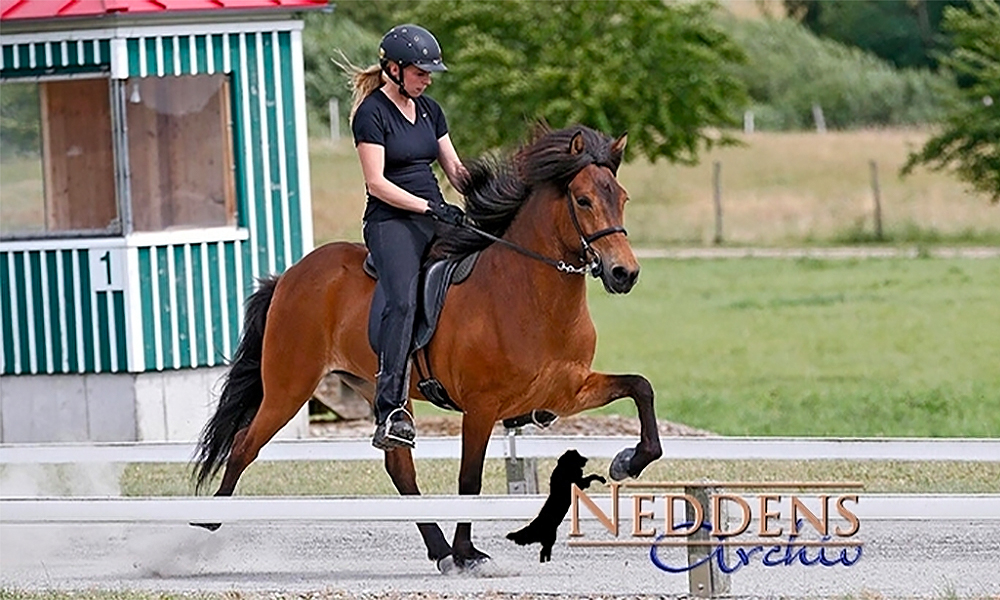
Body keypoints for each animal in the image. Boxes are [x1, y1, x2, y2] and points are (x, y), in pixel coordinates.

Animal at [195, 123, 664, 572]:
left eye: (621, 198)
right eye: (583, 200)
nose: (624, 274)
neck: (528, 294)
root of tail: (290, 275)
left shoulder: (566, 392)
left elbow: (641, 387)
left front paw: (629, 461)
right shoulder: (481, 407)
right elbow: (469, 481)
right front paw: (469, 554)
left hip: (378, 390)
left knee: (399, 467)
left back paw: (440, 551)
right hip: (289, 387)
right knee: (245, 444)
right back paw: (208, 521)